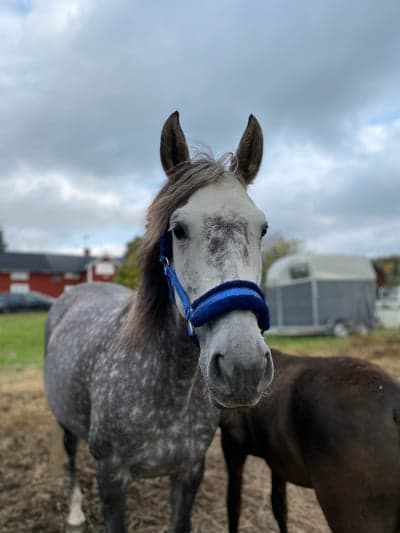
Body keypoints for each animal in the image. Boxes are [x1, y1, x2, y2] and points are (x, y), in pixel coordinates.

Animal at [44, 110, 276, 528]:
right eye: (178, 230)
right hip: (66, 422)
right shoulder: (111, 477)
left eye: (262, 228)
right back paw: (74, 512)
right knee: (70, 458)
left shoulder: (189, 472)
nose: (243, 367)